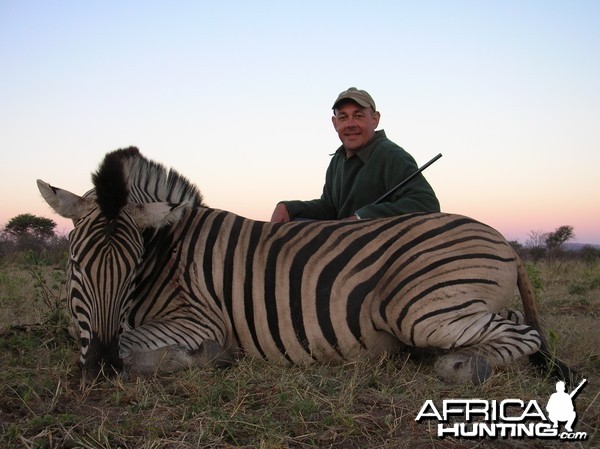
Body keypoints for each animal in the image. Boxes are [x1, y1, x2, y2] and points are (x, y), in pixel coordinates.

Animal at [37, 148, 572, 384]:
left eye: (132, 269)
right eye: (75, 266)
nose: (99, 367)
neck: (168, 252)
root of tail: (504, 241)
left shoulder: (198, 320)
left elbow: (133, 345)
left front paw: (207, 358)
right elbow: (83, 333)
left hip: (423, 310)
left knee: (521, 333)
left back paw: (463, 365)